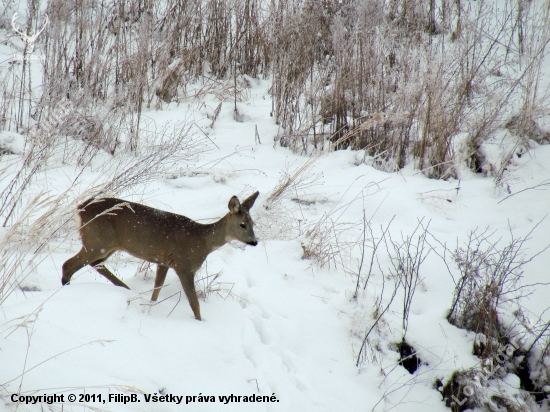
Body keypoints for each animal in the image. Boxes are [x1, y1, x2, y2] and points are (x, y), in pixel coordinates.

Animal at [61, 192, 260, 320]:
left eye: (253, 223)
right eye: (242, 224)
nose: (254, 242)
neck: (202, 241)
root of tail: (79, 209)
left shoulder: (163, 261)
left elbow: (156, 292)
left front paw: (149, 311)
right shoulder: (183, 265)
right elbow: (194, 302)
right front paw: (201, 322)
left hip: (106, 246)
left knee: (95, 264)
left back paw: (125, 288)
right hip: (96, 242)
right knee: (68, 265)